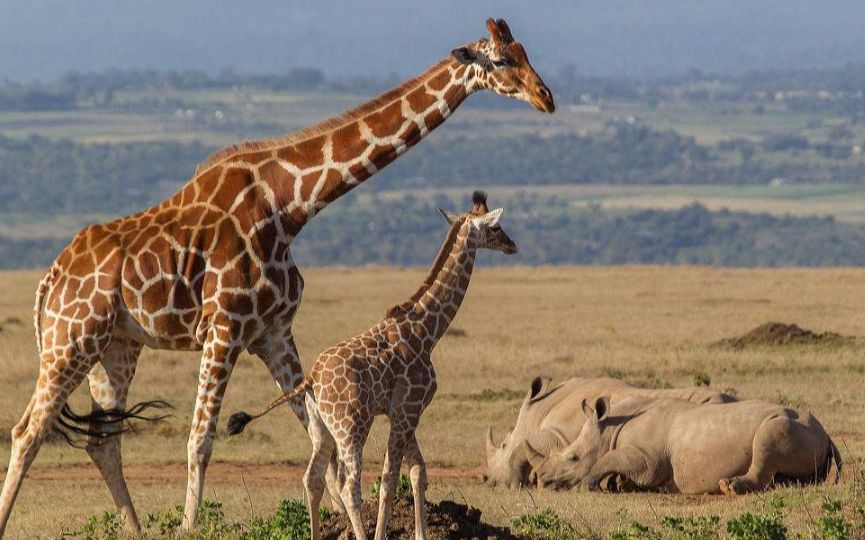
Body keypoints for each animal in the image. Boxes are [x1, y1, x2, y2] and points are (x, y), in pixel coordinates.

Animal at [226, 192, 516, 536]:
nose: (513, 245)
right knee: (349, 484)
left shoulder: (404, 411)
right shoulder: (407, 409)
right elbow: (390, 477)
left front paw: (421, 534)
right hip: (351, 427)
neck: (427, 331)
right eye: (495, 227)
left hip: (321, 427)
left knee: (312, 478)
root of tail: (310, 378)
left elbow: (418, 471)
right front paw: (383, 534)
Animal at [482, 376, 732, 490]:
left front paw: (515, 484)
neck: (539, 411)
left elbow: (521, 450)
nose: (489, 481)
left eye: (503, 445)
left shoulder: (555, 434)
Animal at [528, 392, 840, 494]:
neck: (609, 430)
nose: (541, 481)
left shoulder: (648, 460)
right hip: (807, 433)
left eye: (573, 458)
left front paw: (588, 486)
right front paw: (620, 485)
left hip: (790, 427)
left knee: (767, 438)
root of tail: (826, 433)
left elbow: (610, 459)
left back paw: (729, 487)